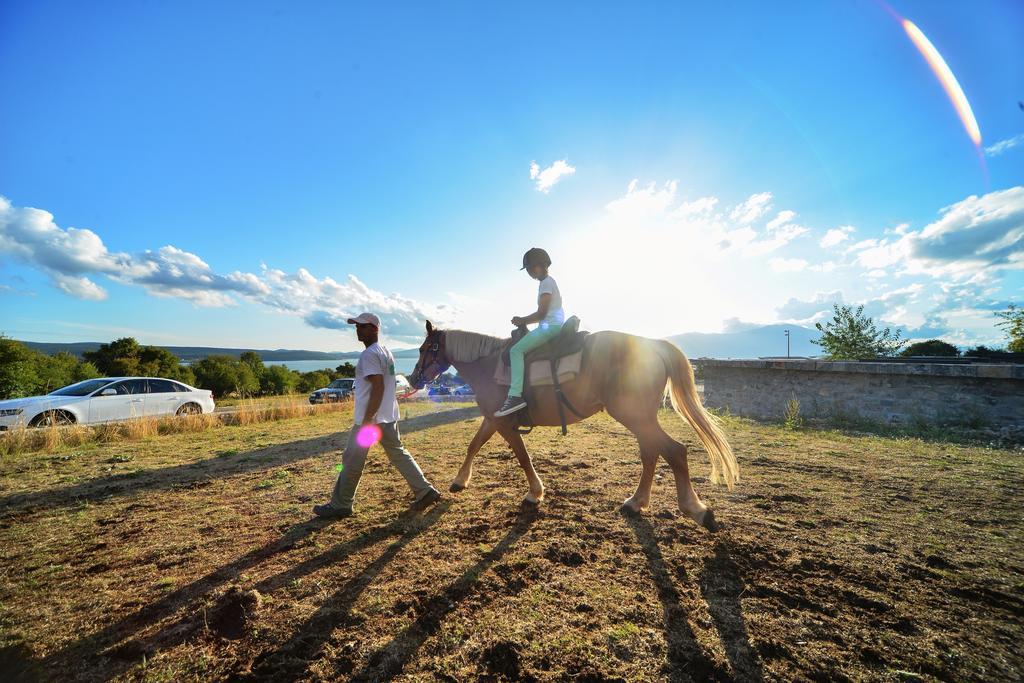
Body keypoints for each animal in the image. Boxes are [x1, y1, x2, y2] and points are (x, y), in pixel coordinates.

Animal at [405, 323, 737, 532]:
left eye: (426, 348)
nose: (412, 378)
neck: (488, 364)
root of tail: (650, 345)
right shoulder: (493, 419)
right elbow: (473, 445)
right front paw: (460, 480)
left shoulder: (503, 424)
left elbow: (522, 457)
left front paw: (535, 493)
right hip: (641, 418)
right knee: (652, 454)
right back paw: (636, 502)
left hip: (636, 416)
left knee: (674, 451)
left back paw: (696, 509)